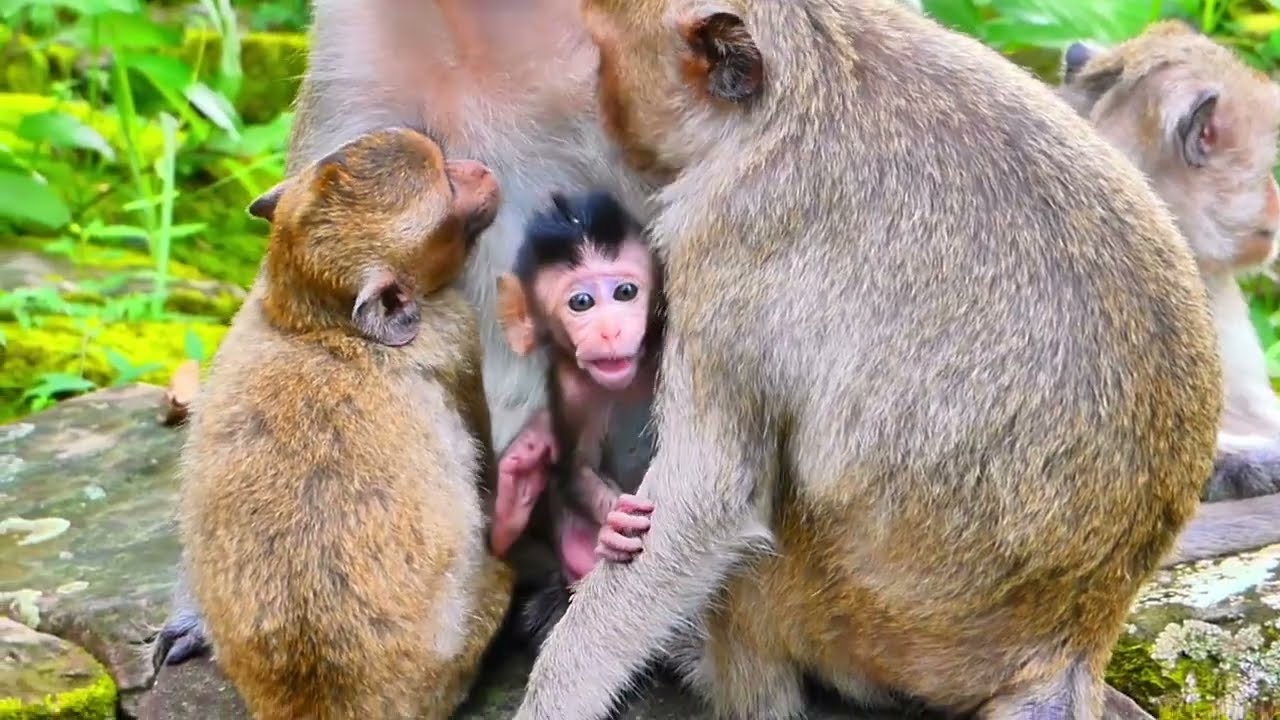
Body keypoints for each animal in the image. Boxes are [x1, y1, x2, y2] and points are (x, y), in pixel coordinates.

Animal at [508, 1, 1257, 718]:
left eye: (603, 56)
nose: (599, 107)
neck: (805, 81)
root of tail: (1075, 639)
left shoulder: (718, 238)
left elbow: (710, 495)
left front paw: (556, 696)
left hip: (864, 620)